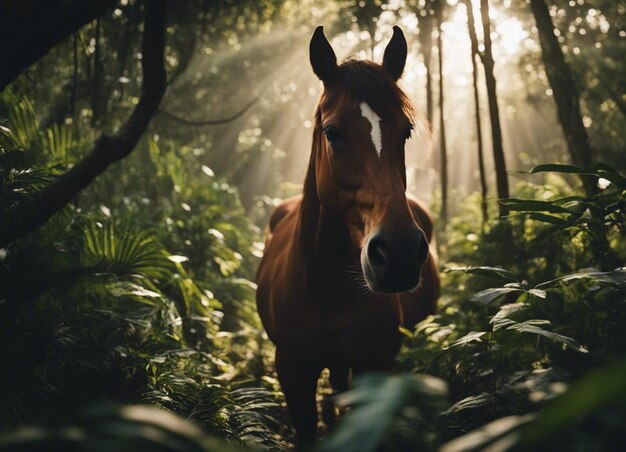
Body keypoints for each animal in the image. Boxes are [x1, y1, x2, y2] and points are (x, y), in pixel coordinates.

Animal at [254, 26, 438, 444]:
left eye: (406, 132)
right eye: (332, 132)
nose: (400, 252)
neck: (326, 289)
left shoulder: (375, 366)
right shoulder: (293, 372)